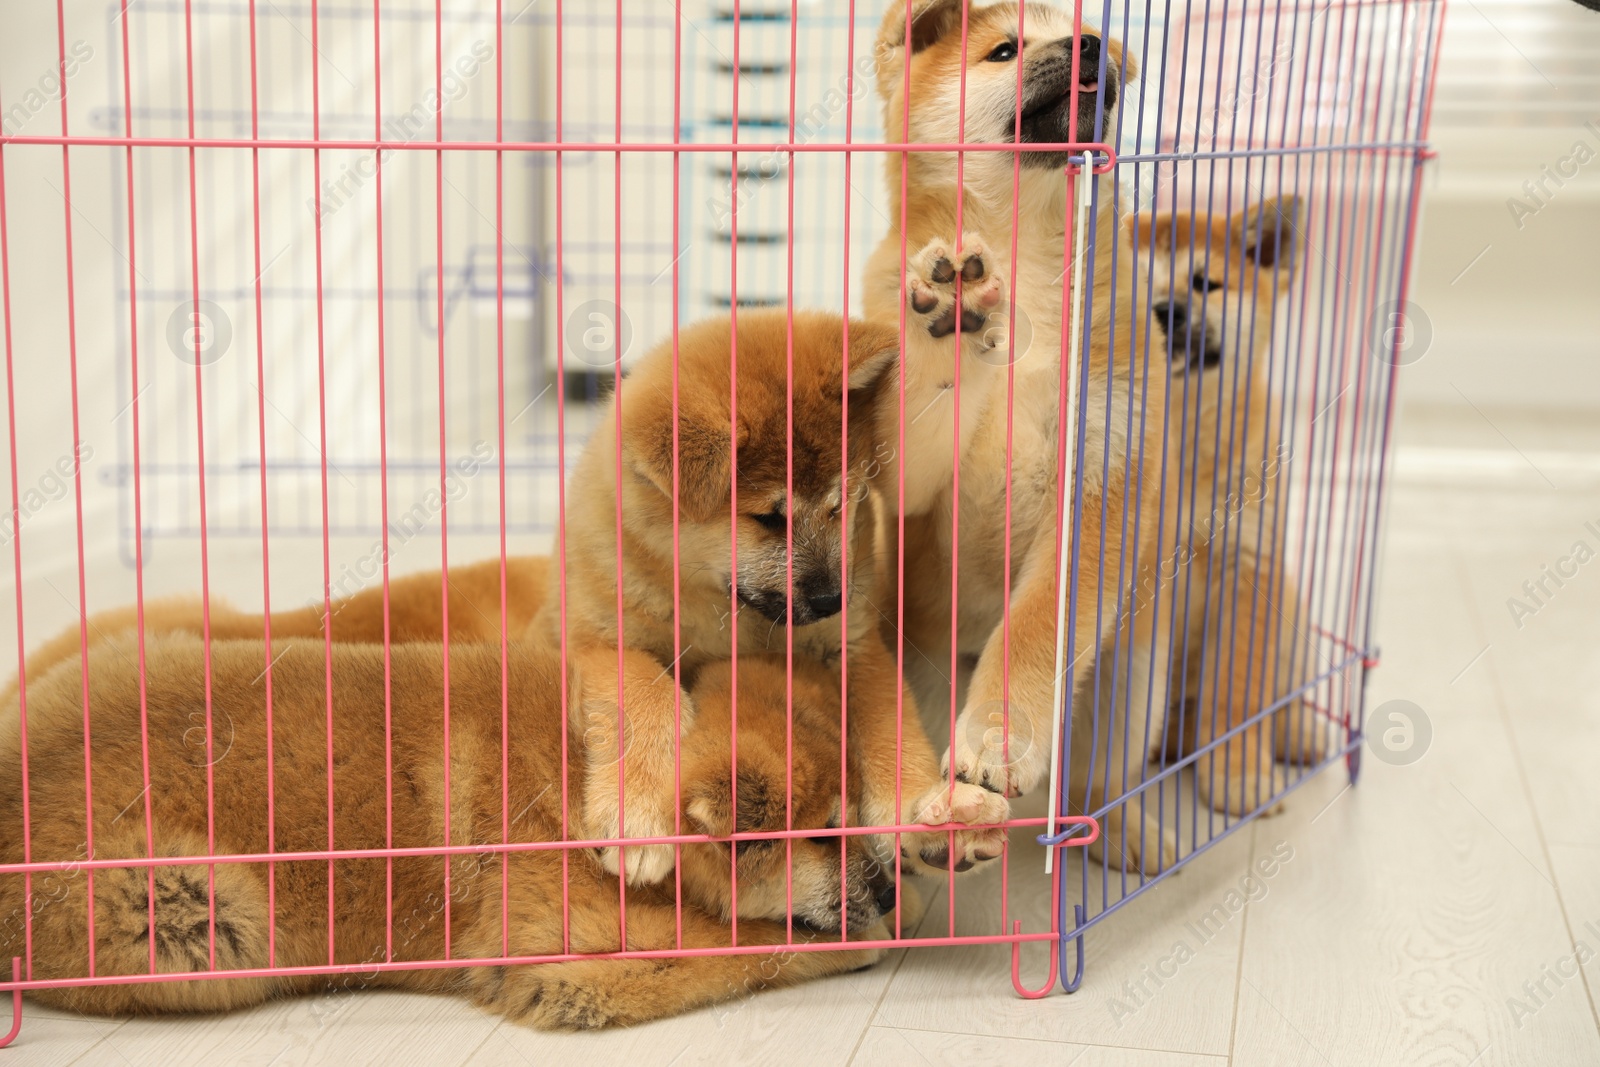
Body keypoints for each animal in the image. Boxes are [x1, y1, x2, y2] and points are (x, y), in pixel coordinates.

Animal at [0, 639, 921, 1030]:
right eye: (823, 836)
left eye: (853, 819)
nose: (888, 883)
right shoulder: (567, 961)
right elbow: (759, 945)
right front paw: (866, 933)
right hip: (201, 909)